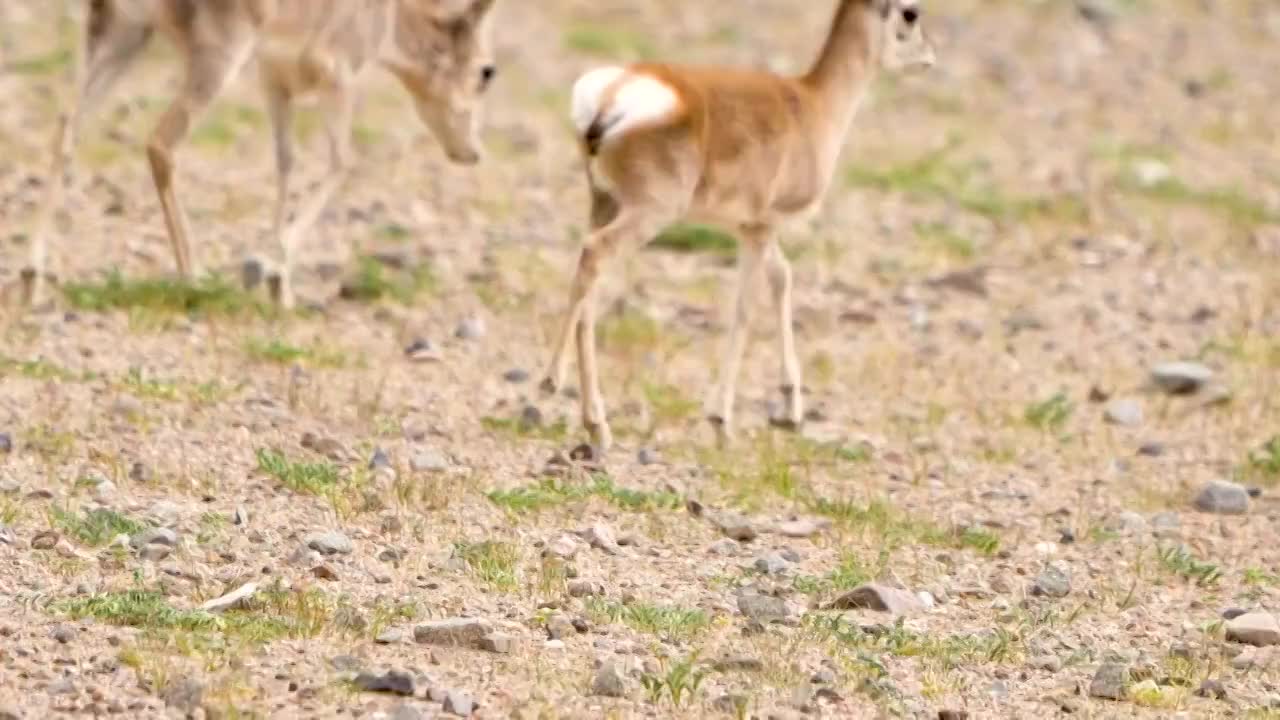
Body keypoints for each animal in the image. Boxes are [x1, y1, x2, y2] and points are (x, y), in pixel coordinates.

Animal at [21, 0, 499, 304]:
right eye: (486, 72)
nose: (473, 153)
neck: (391, 18)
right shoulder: (337, 82)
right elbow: (343, 163)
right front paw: (274, 272)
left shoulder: (275, 83)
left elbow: (286, 163)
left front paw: (278, 284)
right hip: (216, 59)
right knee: (160, 142)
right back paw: (193, 277)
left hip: (121, 37)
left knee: (66, 128)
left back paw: (31, 275)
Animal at [535, 0, 936, 448]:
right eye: (911, 13)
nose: (930, 57)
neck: (810, 103)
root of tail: (613, 94)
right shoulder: (762, 228)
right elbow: (745, 307)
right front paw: (720, 417)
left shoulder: (754, 227)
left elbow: (782, 279)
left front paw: (790, 409)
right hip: (649, 214)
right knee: (594, 255)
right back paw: (554, 386)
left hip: (604, 203)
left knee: (588, 281)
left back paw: (595, 422)